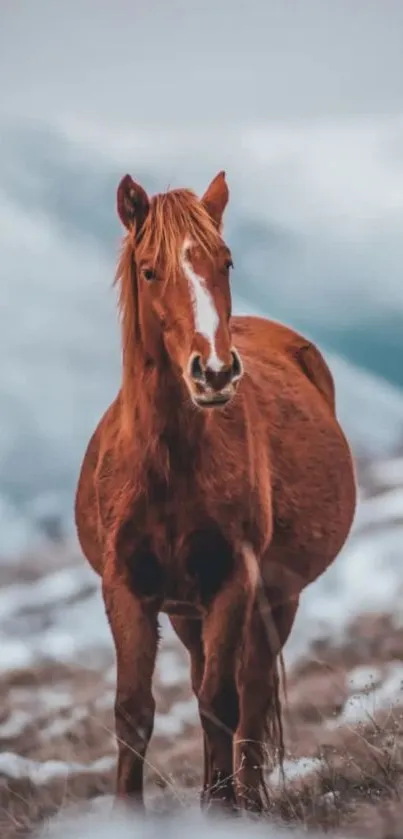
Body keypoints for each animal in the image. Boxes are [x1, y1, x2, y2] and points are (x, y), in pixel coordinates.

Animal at [75, 171, 356, 812]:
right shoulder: (126, 588)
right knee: (208, 676)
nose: (216, 372)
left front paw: (227, 810)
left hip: (276, 596)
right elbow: (134, 712)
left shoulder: (234, 582)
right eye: (150, 270)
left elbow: (222, 703)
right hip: (186, 610)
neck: (167, 467)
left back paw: (244, 798)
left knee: (248, 690)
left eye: (225, 262)